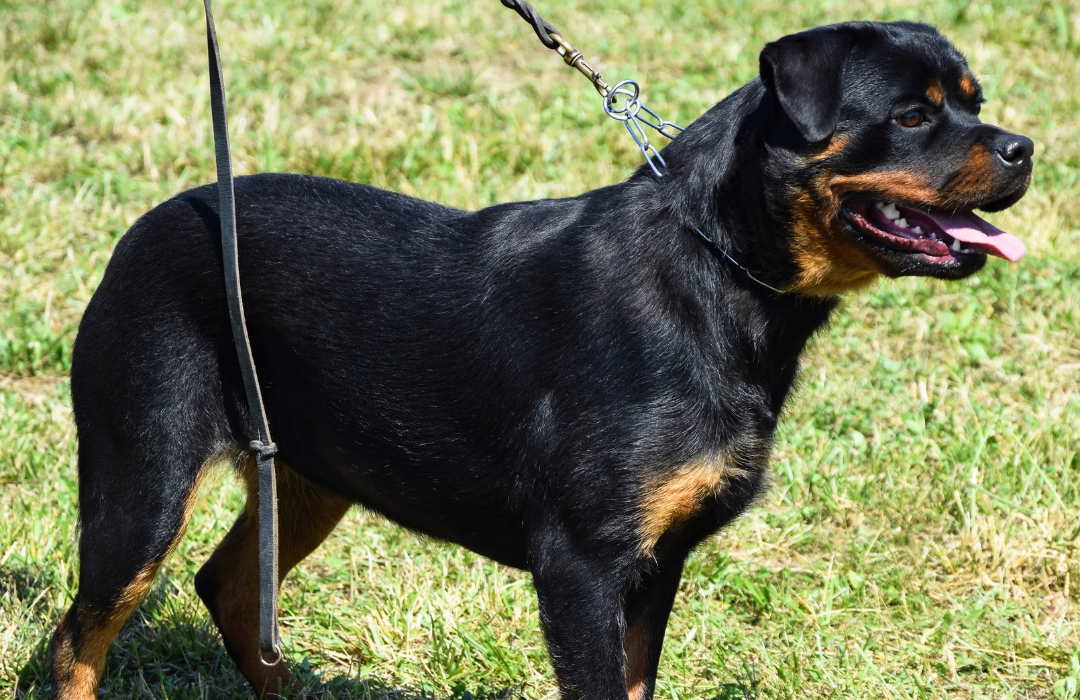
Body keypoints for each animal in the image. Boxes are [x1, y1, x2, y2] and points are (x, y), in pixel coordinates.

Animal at [48, 19, 1028, 700]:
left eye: (974, 104)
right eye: (912, 115)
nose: (1025, 148)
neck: (715, 269)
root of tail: (146, 226)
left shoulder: (655, 565)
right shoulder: (583, 567)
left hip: (315, 477)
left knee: (227, 588)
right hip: (144, 480)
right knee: (76, 640)